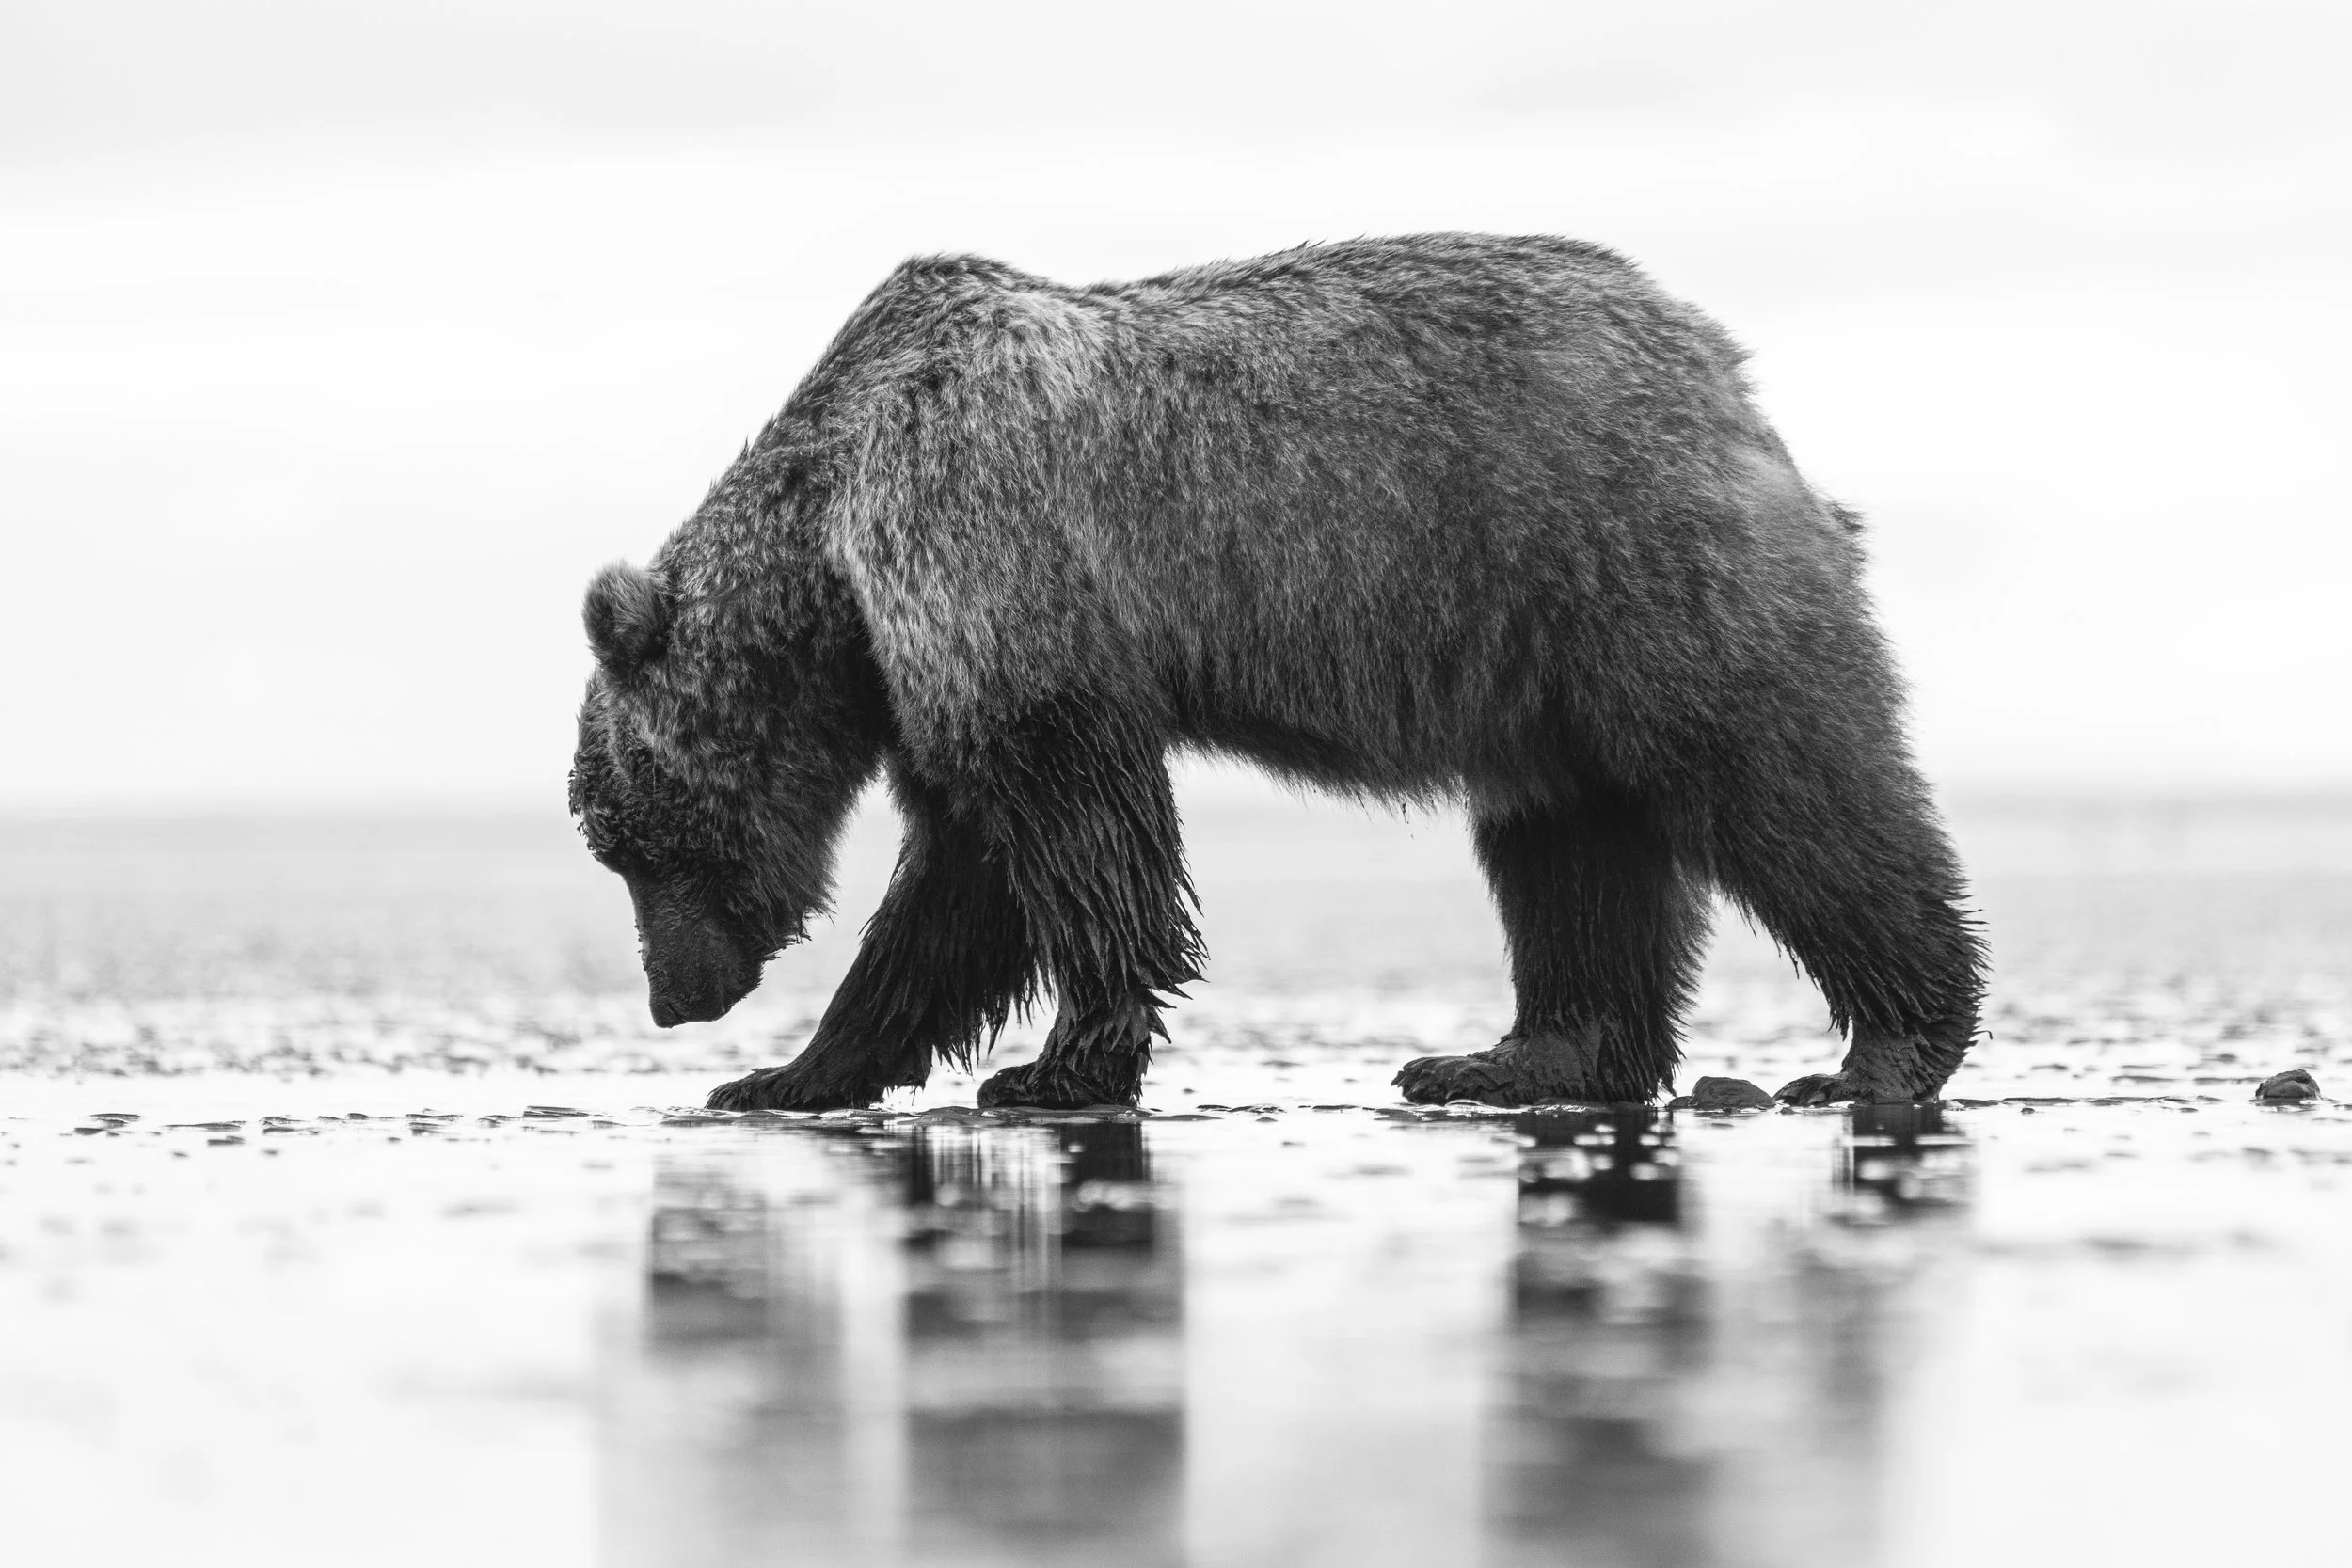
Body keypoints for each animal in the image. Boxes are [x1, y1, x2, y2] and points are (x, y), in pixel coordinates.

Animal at [566, 233, 1986, 1114]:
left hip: (1629, 573)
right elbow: (962, 876)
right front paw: (791, 1073)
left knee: (1782, 783)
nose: (673, 1000)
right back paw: (1512, 1056)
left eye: (629, 838)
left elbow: (1068, 836)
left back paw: (1881, 1048)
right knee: (1569, 846)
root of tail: (1720, 368)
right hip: (1539, 673)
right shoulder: (928, 659)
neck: (832, 559)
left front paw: (1054, 1065)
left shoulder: (989, 554)